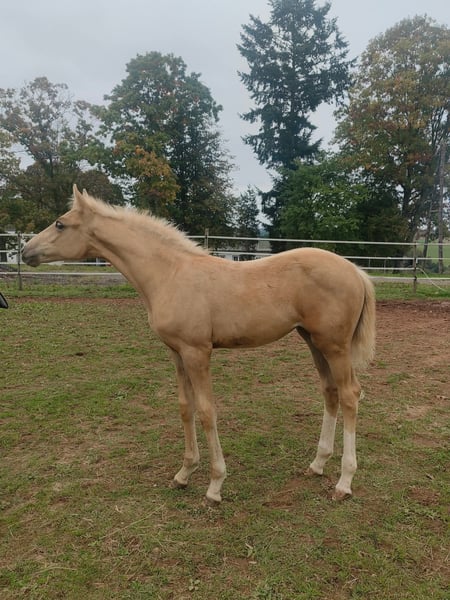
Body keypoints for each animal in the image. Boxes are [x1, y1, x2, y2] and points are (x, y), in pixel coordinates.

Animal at [22, 185, 376, 505]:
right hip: (313, 341)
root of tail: (355, 270)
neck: (170, 274)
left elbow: (207, 411)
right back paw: (317, 465)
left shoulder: (197, 352)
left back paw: (344, 482)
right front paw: (184, 473)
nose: (25, 251)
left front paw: (215, 485)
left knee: (349, 394)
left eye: (60, 224)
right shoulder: (177, 353)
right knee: (330, 392)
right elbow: (185, 407)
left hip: (335, 346)